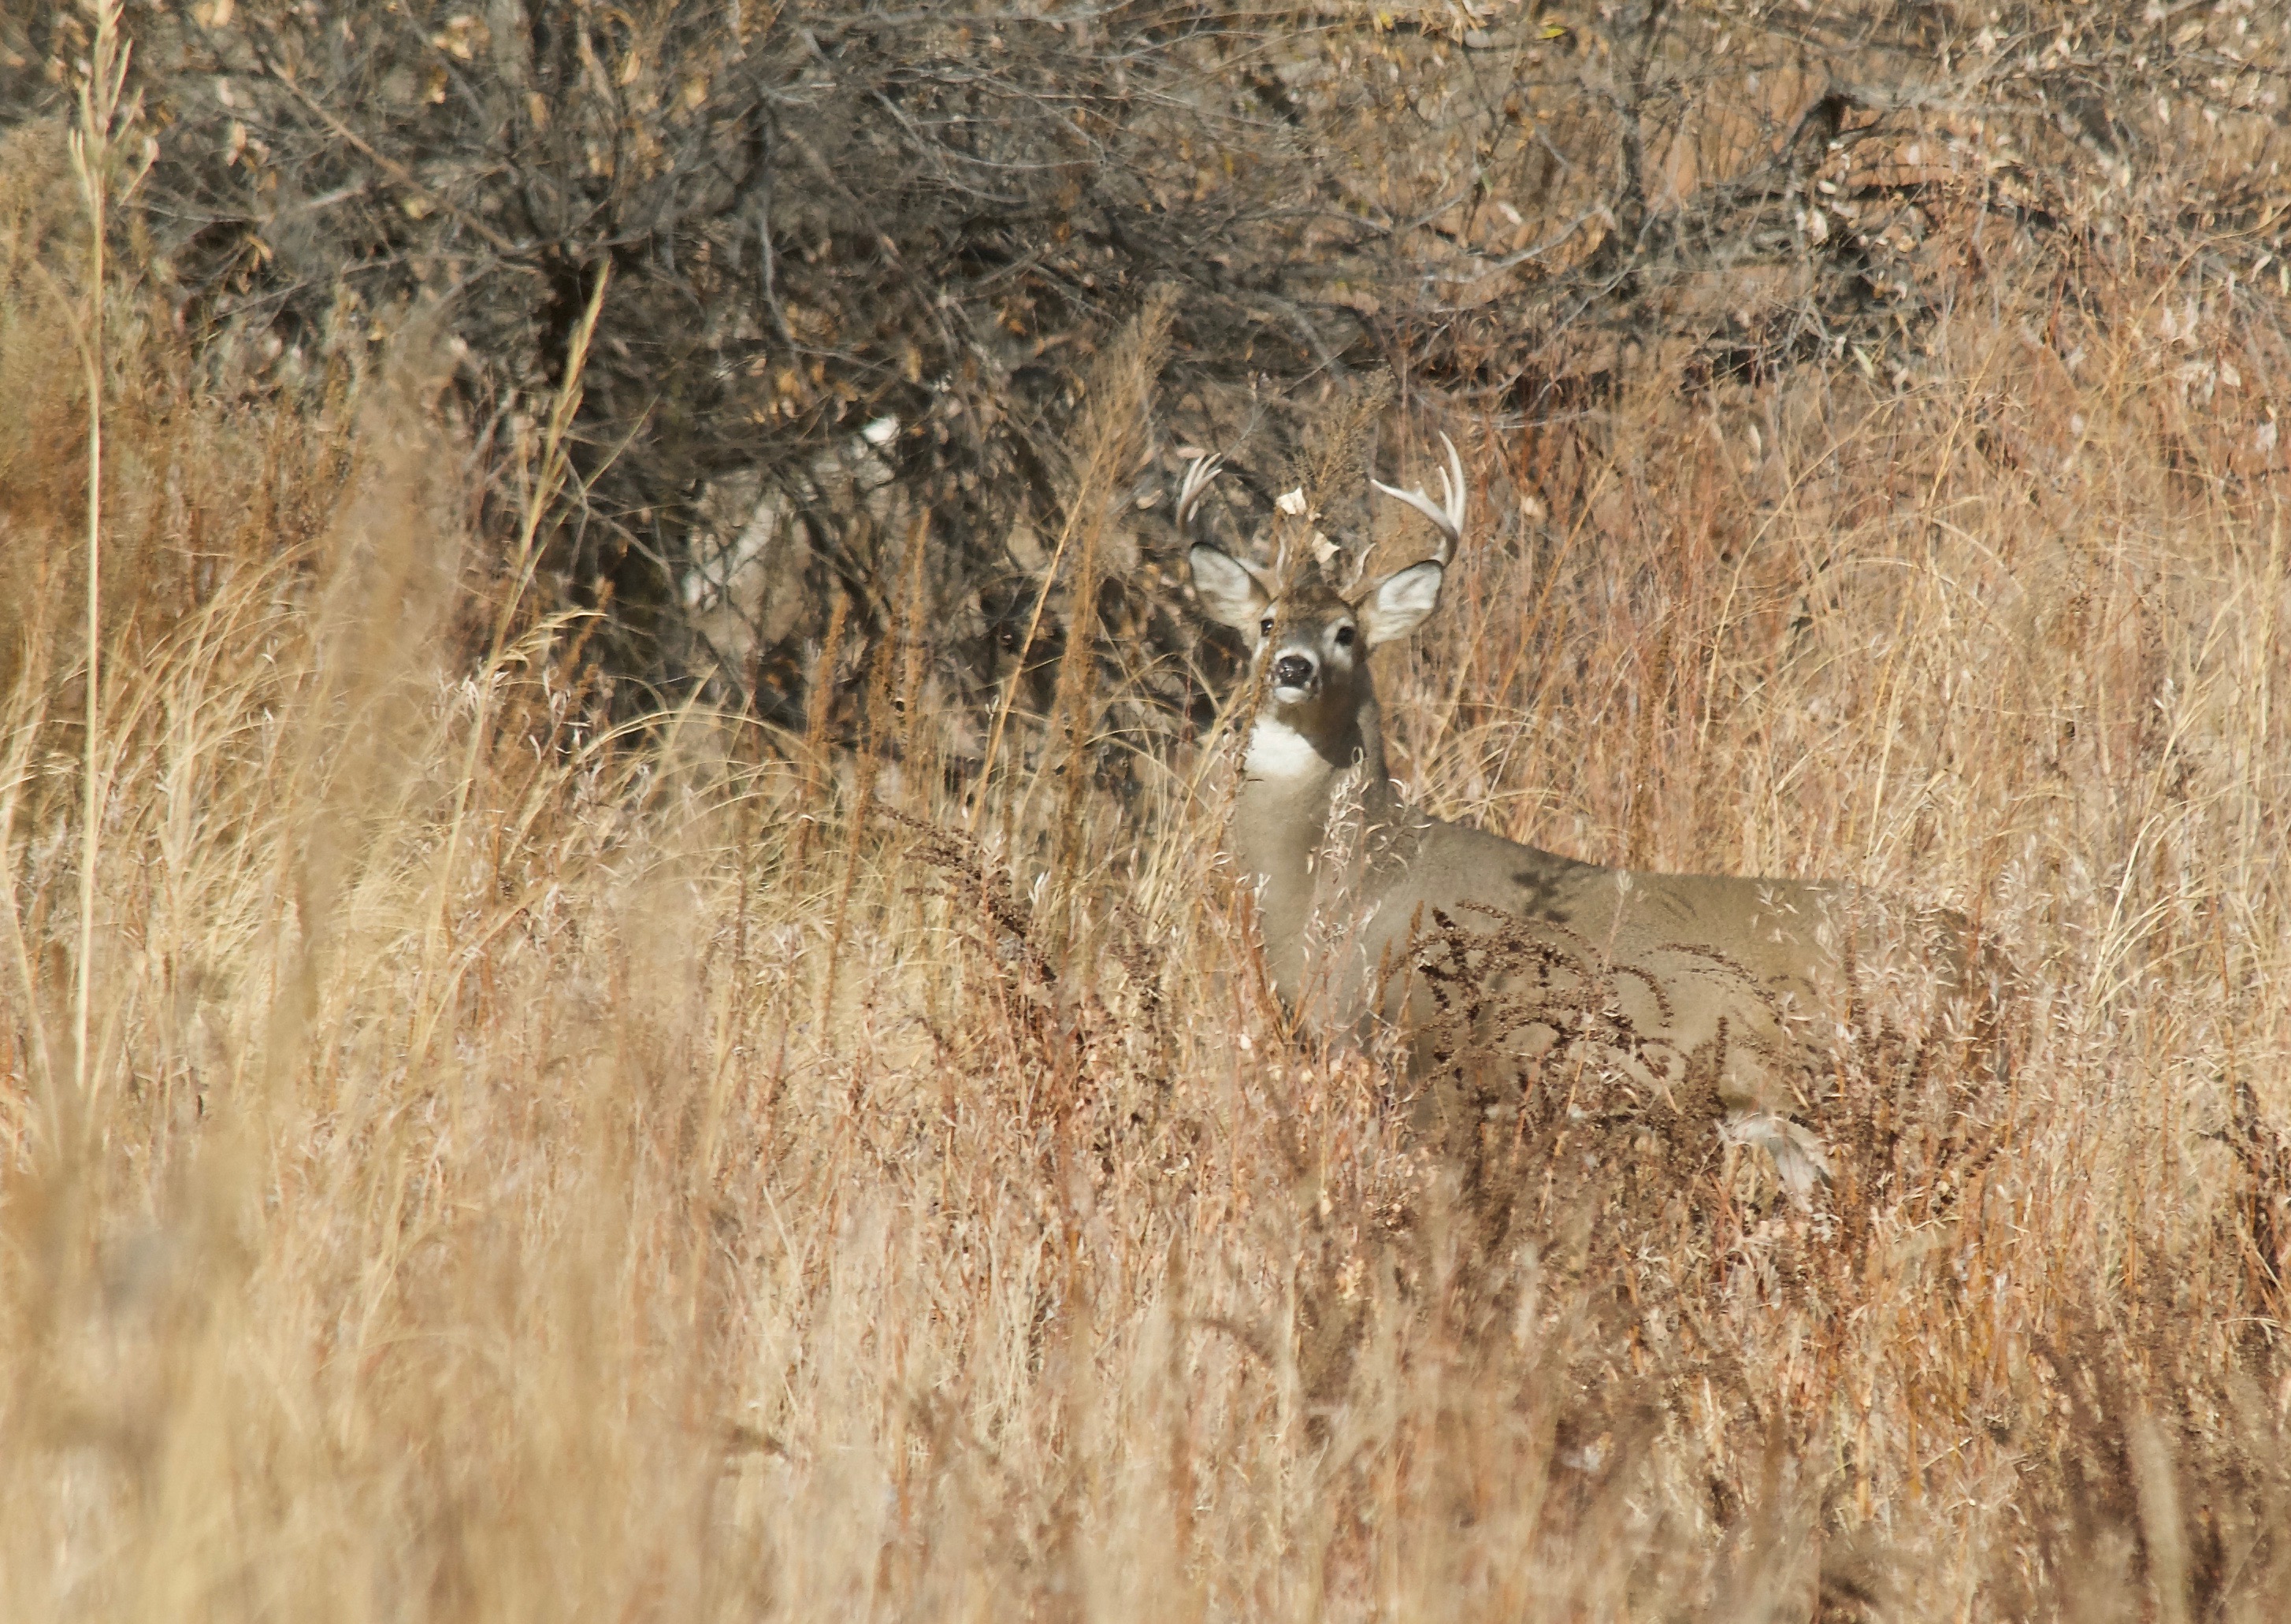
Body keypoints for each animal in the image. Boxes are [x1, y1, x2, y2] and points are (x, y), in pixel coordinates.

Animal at [1191, 437, 1997, 1199]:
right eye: (1266, 623)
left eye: (1346, 634)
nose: (1293, 667)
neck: (1355, 880)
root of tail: (1989, 963)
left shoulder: (1430, 1053)